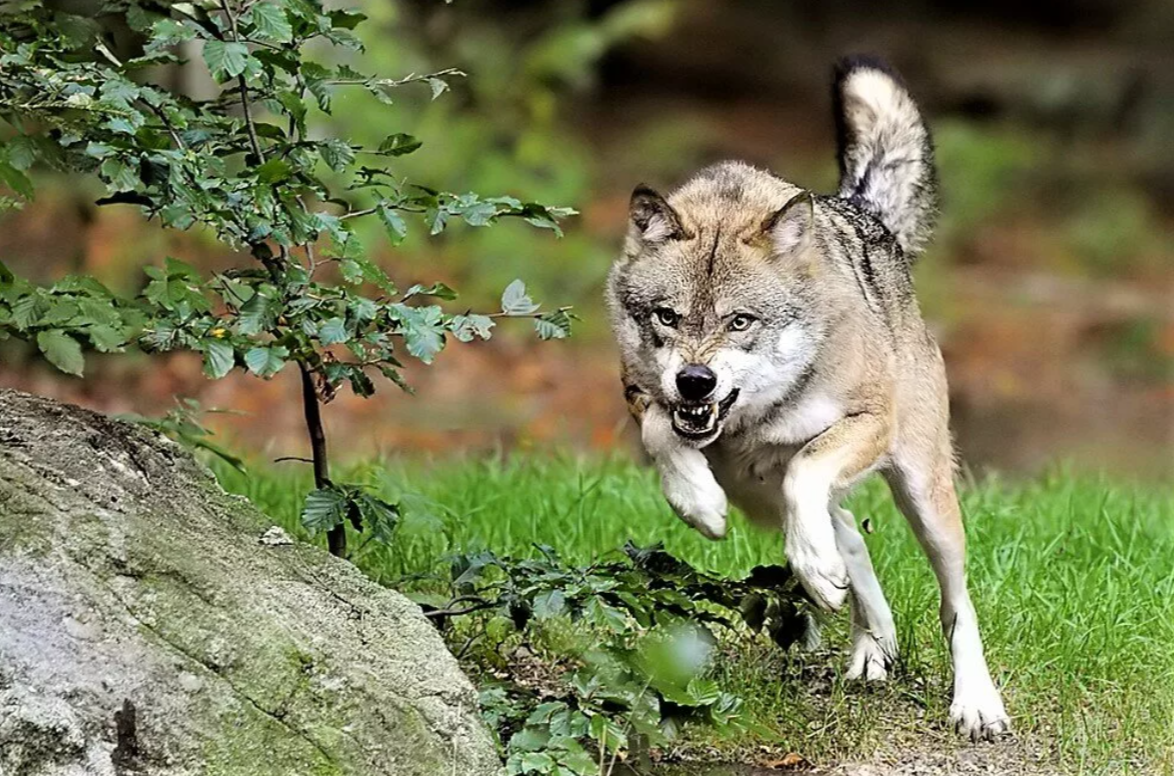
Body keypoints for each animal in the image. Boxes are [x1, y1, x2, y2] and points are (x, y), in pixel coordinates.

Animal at [605, 58, 1009, 737]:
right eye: (667, 316)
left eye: (740, 322)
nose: (695, 382)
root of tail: (860, 209)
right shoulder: (641, 394)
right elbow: (665, 433)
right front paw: (698, 507)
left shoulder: (865, 423)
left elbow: (808, 474)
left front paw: (814, 570)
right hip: (756, 493)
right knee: (848, 534)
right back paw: (871, 643)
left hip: (923, 496)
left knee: (955, 601)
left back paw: (975, 702)